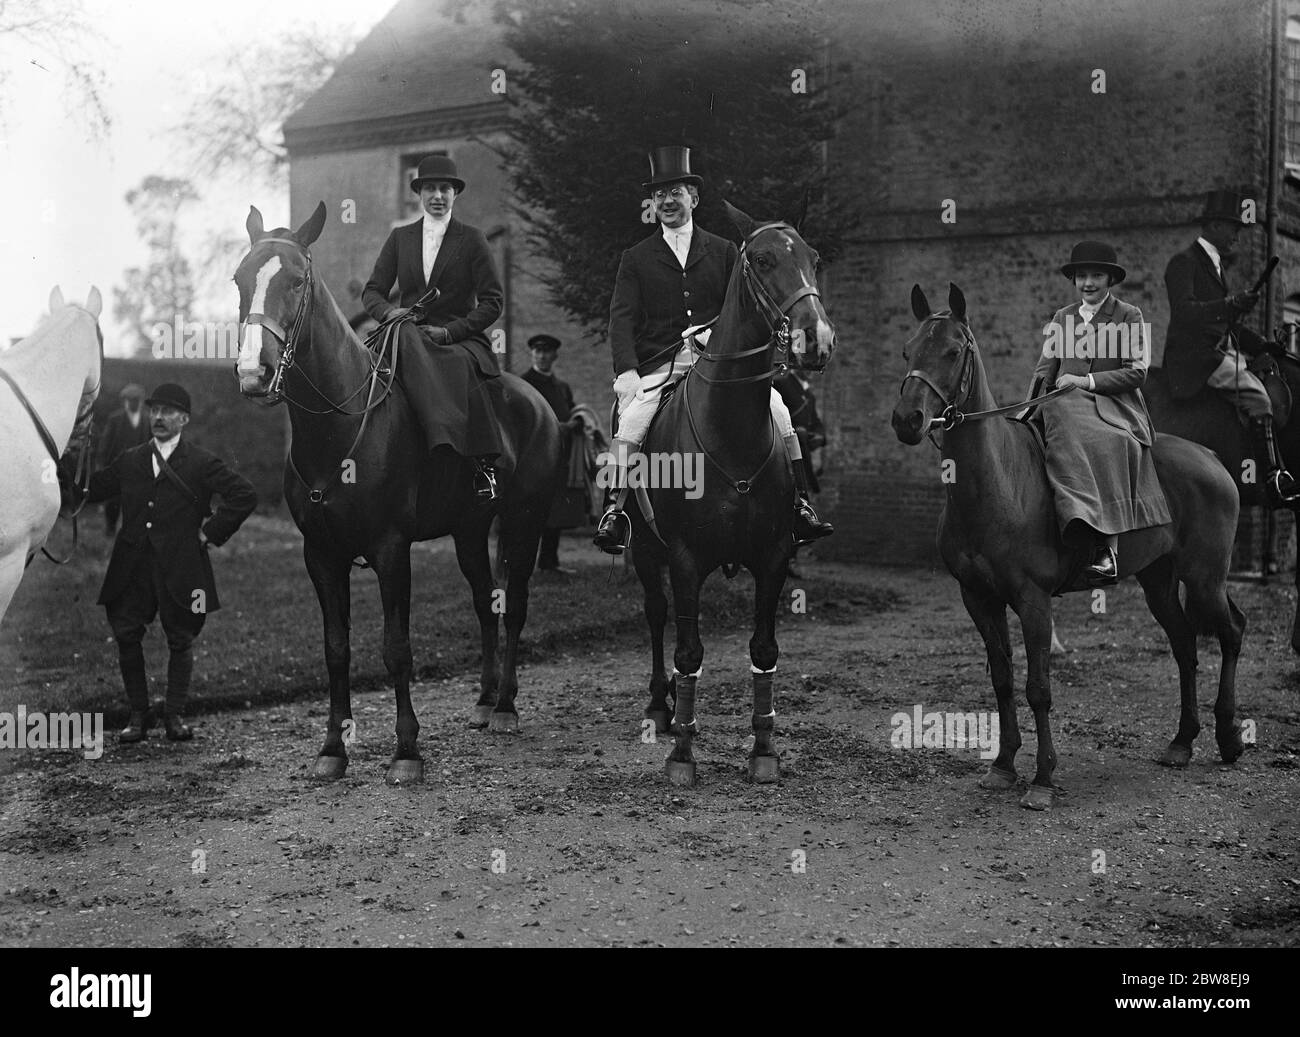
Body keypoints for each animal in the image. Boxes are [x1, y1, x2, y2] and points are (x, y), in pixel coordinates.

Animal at [233, 205, 559, 790]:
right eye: (239, 280)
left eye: (295, 281)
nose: (254, 371)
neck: (341, 427)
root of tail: (536, 398)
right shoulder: (321, 555)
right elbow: (336, 649)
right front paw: (332, 749)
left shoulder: (391, 550)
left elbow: (396, 649)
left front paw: (407, 750)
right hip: (470, 531)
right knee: (485, 603)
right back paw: (483, 700)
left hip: (525, 522)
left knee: (515, 606)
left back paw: (504, 706)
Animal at [634, 201, 837, 790]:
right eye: (763, 259)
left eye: (814, 258)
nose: (816, 339)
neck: (730, 431)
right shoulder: (684, 560)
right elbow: (688, 653)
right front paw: (682, 752)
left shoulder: (773, 557)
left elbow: (764, 650)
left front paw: (764, 748)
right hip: (644, 552)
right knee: (656, 615)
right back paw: (658, 706)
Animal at [894, 284, 1248, 810]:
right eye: (908, 350)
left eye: (953, 352)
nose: (907, 420)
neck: (996, 480)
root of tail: (1210, 457)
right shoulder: (978, 598)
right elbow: (1002, 679)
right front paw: (1003, 765)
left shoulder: (1033, 600)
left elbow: (1038, 687)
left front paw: (1042, 779)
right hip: (1159, 582)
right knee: (1185, 646)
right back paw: (1182, 742)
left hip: (1205, 579)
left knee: (1230, 634)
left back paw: (1228, 737)